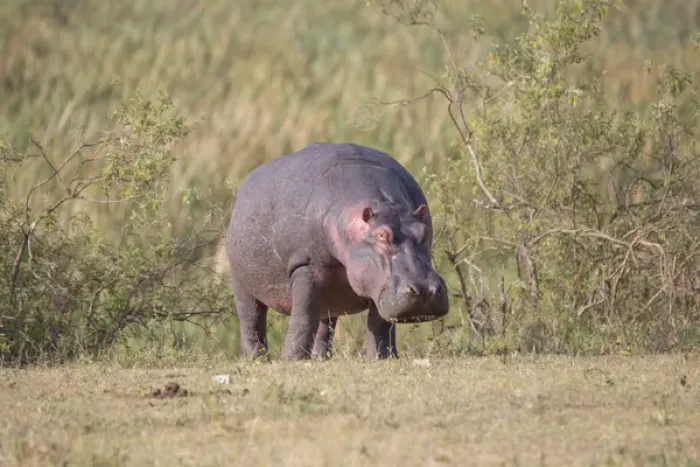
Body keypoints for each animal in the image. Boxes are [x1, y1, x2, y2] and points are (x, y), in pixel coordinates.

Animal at [225, 142, 449, 360]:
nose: (425, 290)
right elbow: (303, 316)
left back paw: (321, 358)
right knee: (251, 319)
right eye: (382, 235)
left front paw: (381, 358)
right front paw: (292, 359)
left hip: (331, 294)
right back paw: (257, 359)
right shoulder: (305, 264)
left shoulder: (376, 283)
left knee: (325, 325)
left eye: (424, 231)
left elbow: (379, 324)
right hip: (242, 282)